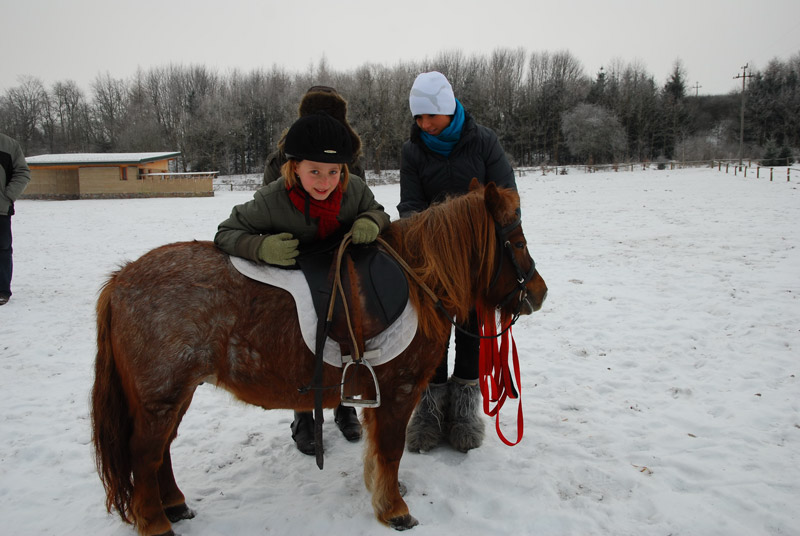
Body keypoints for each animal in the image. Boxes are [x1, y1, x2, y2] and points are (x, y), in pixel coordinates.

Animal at [90, 181, 548, 536]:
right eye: (517, 242)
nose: (538, 293)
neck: (418, 280)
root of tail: (120, 281)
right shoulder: (397, 392)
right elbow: (391, 451)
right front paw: (395, 510)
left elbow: (379, 453)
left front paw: (382, 497)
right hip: (161, 397)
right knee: (144, 454)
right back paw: (156, 522)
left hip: (175, 395)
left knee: (161, 452)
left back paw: (175, 505)